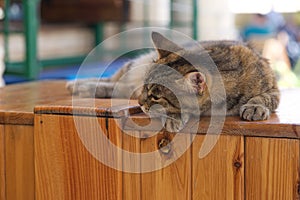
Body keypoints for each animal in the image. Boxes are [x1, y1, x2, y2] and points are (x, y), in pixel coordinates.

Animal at [67, 32, 280, 132]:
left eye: (155, 96)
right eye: (146, 87)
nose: (139, 103)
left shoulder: (273, 87)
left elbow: (265, 97)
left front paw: (254, 107)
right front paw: (174, 118)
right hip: (132, 69)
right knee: (113, 82)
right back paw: (78, 84)